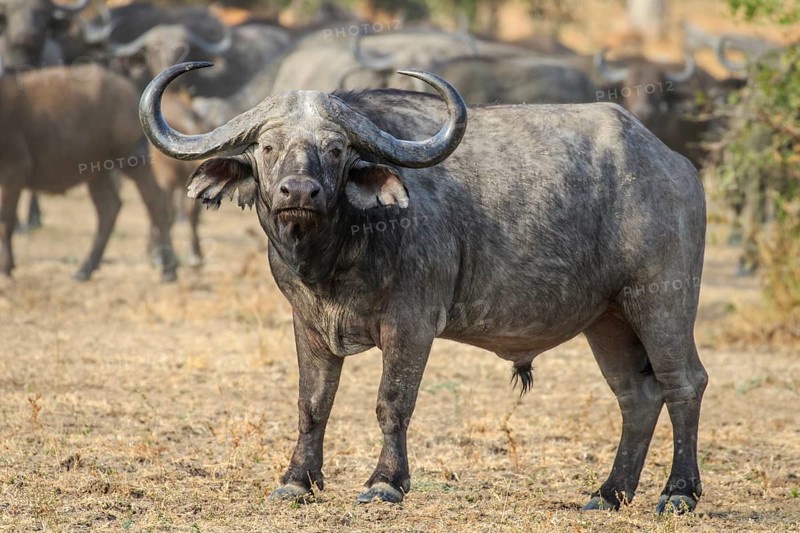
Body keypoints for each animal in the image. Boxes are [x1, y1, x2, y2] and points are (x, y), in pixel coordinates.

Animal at [141, 62, 708, 514]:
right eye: (267, 145)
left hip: (661, 301)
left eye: (336, 148)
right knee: (636, 396)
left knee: (683, 383)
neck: (336, 255)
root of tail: (675, 166)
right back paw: (609, 493)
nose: (299, 191)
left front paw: (385, 483)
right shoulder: (308, 324)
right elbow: (312, 404)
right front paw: (297, 480)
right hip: (608, 319)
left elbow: (392, 403)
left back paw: (678, 492)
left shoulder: (411, 324)